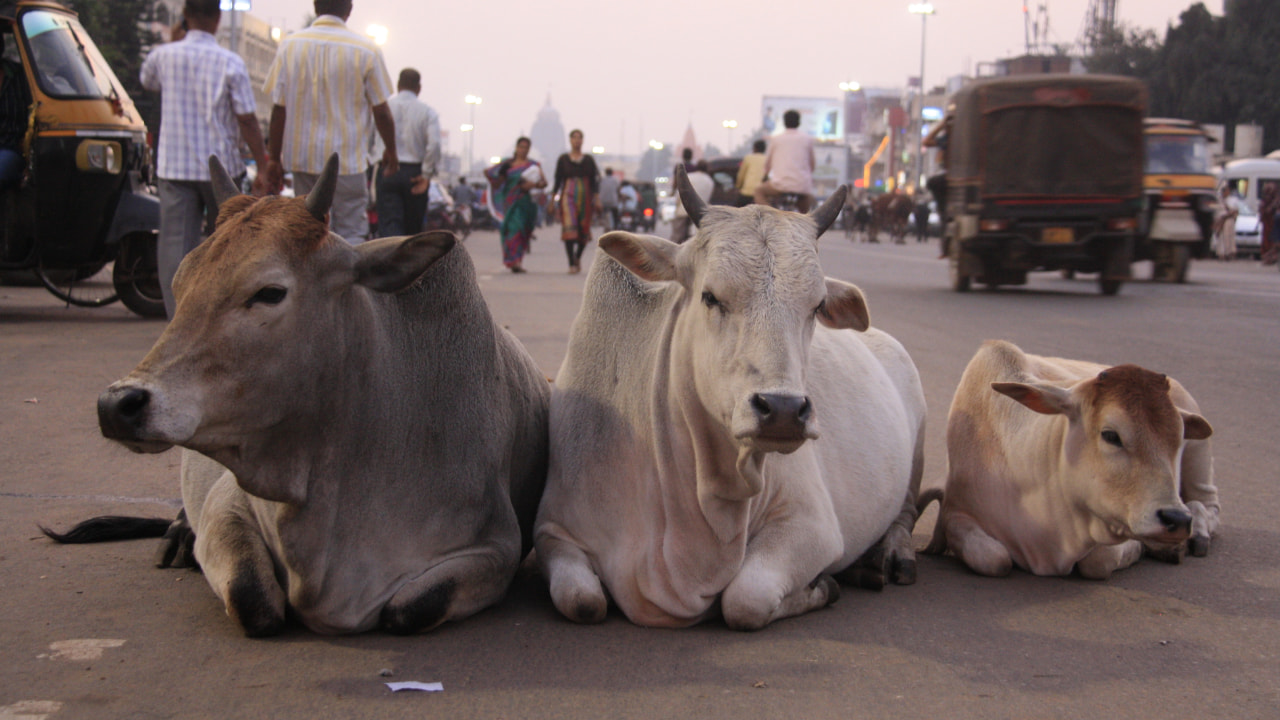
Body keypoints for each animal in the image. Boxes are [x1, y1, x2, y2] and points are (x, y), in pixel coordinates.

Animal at [53, 155, 550, 636]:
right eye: (178, 285)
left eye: (270, 292)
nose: (117, 404)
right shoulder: (228, 504)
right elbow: (252, 599)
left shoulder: (495, 548)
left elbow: (408, 610)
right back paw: (178, 536)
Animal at [534, 166, 927, 631]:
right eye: (710, 296)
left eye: (816, 306)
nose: (784, 410)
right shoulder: (553, 530)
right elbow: (582, 601)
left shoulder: (813, 525)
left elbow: (745, 600)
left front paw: (823, 587)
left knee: (905, 513)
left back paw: (890, 556)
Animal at [923, 340, 1219, 580]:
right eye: (1110, 435)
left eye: (1178, 438)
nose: (1176, 520)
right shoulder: (958, 514)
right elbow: (994, 559)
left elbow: (1099, 561)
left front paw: (1141, 548)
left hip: (1199, 459)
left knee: (1207, 505)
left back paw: (1196, 535)